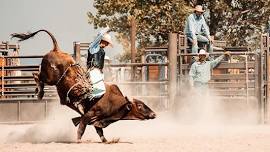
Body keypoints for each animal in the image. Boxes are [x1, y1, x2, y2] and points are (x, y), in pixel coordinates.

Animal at [12, 29, 156, 142]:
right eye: (140, 106)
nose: (154, 114)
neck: (113, 101)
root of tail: (56, 49)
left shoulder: (96, 119)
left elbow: (99, 131)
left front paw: (107, 141)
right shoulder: (88, 115)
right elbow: (81, 129)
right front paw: (78, 141)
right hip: (50, 78)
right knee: (36, 75)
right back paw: (40, 93)